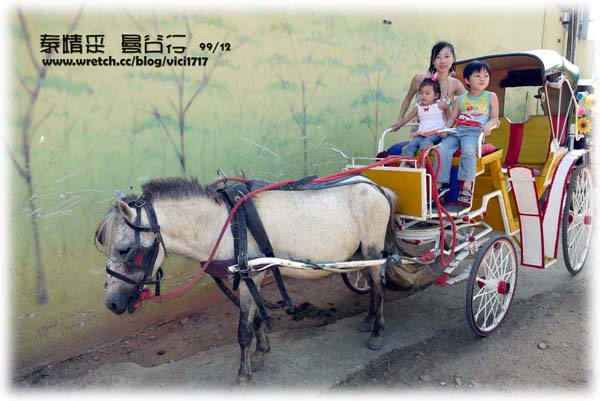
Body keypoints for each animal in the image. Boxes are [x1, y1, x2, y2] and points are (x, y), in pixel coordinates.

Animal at [95, 175, 398, 384]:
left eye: (124, 250)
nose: (111, 303)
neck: (226, 226)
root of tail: (377, 187)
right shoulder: (252, 276)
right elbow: (256, 320)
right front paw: (261, 353)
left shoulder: (249, 274)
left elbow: (243, 329)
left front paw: (243, 374)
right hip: (360, 253)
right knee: (371, 285)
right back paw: (368, 320)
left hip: (372, 250)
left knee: (379, 288)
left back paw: (377, 332)